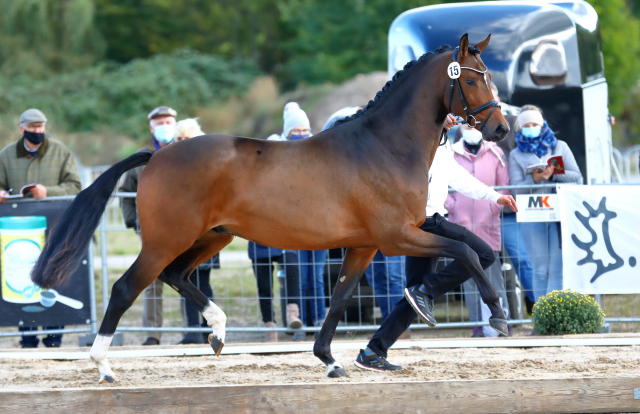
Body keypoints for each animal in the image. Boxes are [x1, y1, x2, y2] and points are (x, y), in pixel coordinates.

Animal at [31, 34, 510, 384]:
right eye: (472, 80)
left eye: (488, 78)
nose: (501, 129)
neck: (384, 146)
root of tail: (159, 155)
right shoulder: (397, 236)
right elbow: (466, 253)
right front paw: (499, 317)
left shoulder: (365, 246)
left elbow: (339, 299)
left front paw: (330, 360)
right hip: (166, 239)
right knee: (126, 288)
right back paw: (104, 366)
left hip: (212, 236)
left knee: (177, 275)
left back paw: (218, 331)